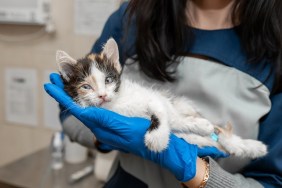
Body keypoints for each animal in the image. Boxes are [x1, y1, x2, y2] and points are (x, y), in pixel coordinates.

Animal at [56, 37, 268, 158]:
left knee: (187, 121)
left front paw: (156, 138)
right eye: (86, 87)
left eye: (108, 80)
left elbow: (160, 114)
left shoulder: (151, 98)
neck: (116, 105)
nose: (102, 95)